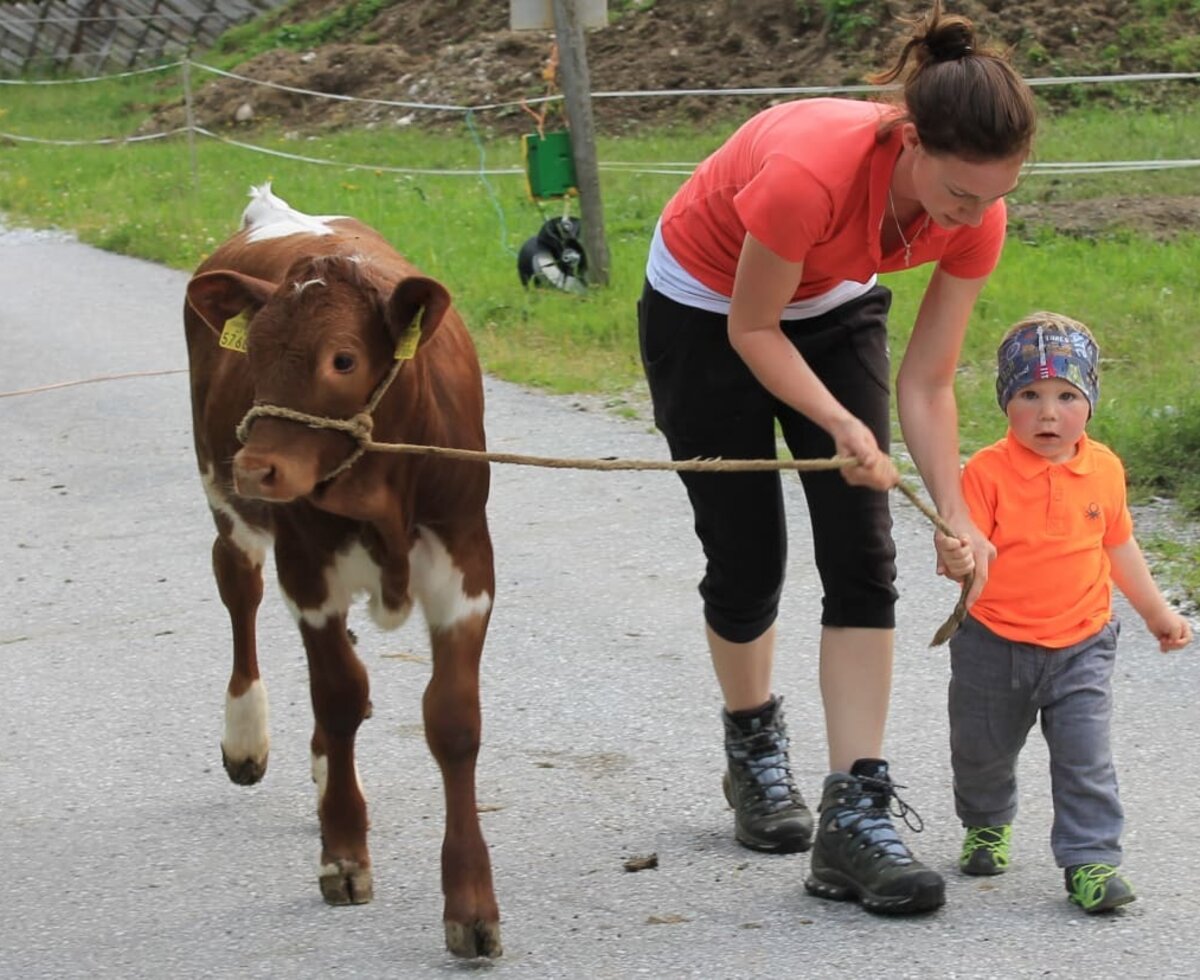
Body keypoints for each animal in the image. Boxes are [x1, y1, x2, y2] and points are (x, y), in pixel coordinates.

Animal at [181, 183, 496, 954]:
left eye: (344, 360)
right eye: (256, 353)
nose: (255, 466)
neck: (380, 481)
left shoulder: (466, 568)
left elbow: (452, 722)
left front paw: (471, 906)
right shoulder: (307, 568)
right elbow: (340, 696)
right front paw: (345, 855)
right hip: (226, 506)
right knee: (241, 591)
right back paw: (248, 739)